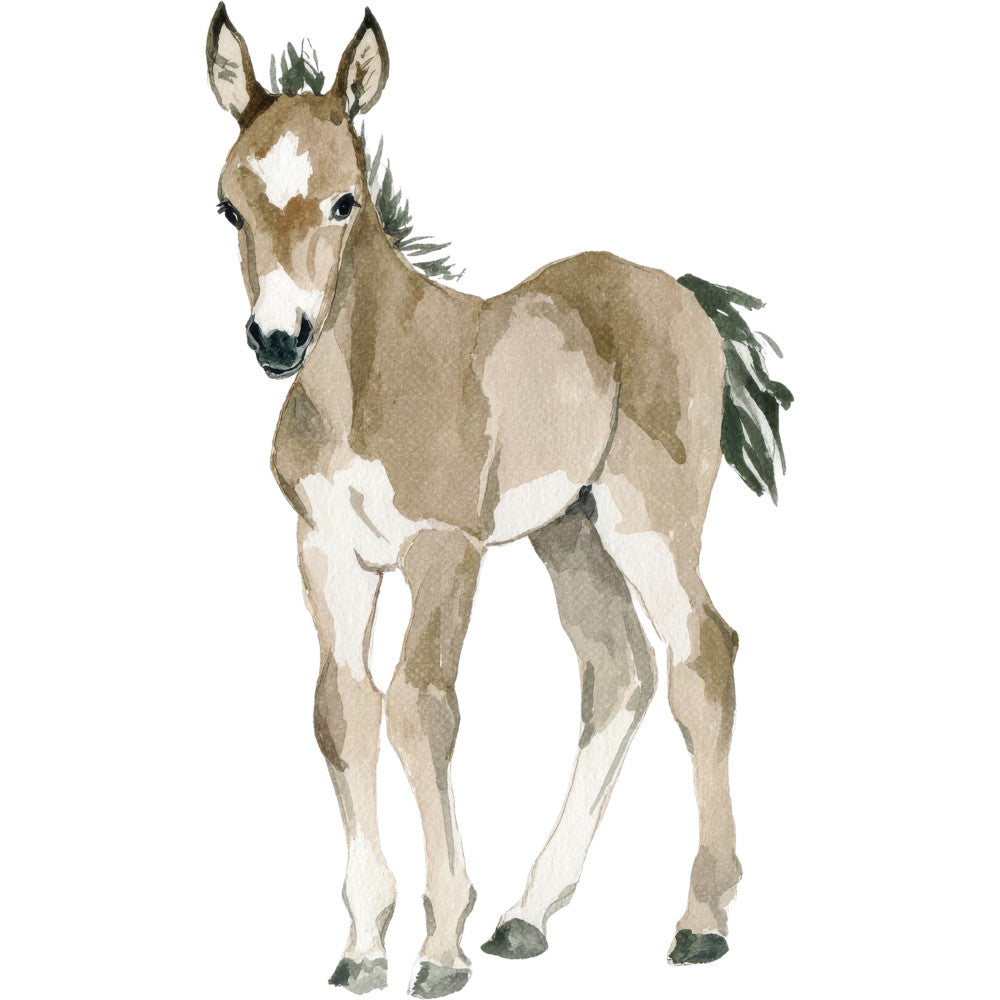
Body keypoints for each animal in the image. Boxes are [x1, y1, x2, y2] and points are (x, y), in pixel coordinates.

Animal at [206, 6, 790, 996]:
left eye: (345, 200)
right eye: (229, 206)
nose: (278, 340)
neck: (368, 379)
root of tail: (678, 291)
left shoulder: (445, 550)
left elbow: (420, 706)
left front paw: (440, 946)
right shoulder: (329, 552)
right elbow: (342, 709)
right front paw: (364, 944)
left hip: (646, 520)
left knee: (701, 655)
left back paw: (701, 922)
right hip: (570, 532)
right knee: (619, 670)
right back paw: (528, 915)